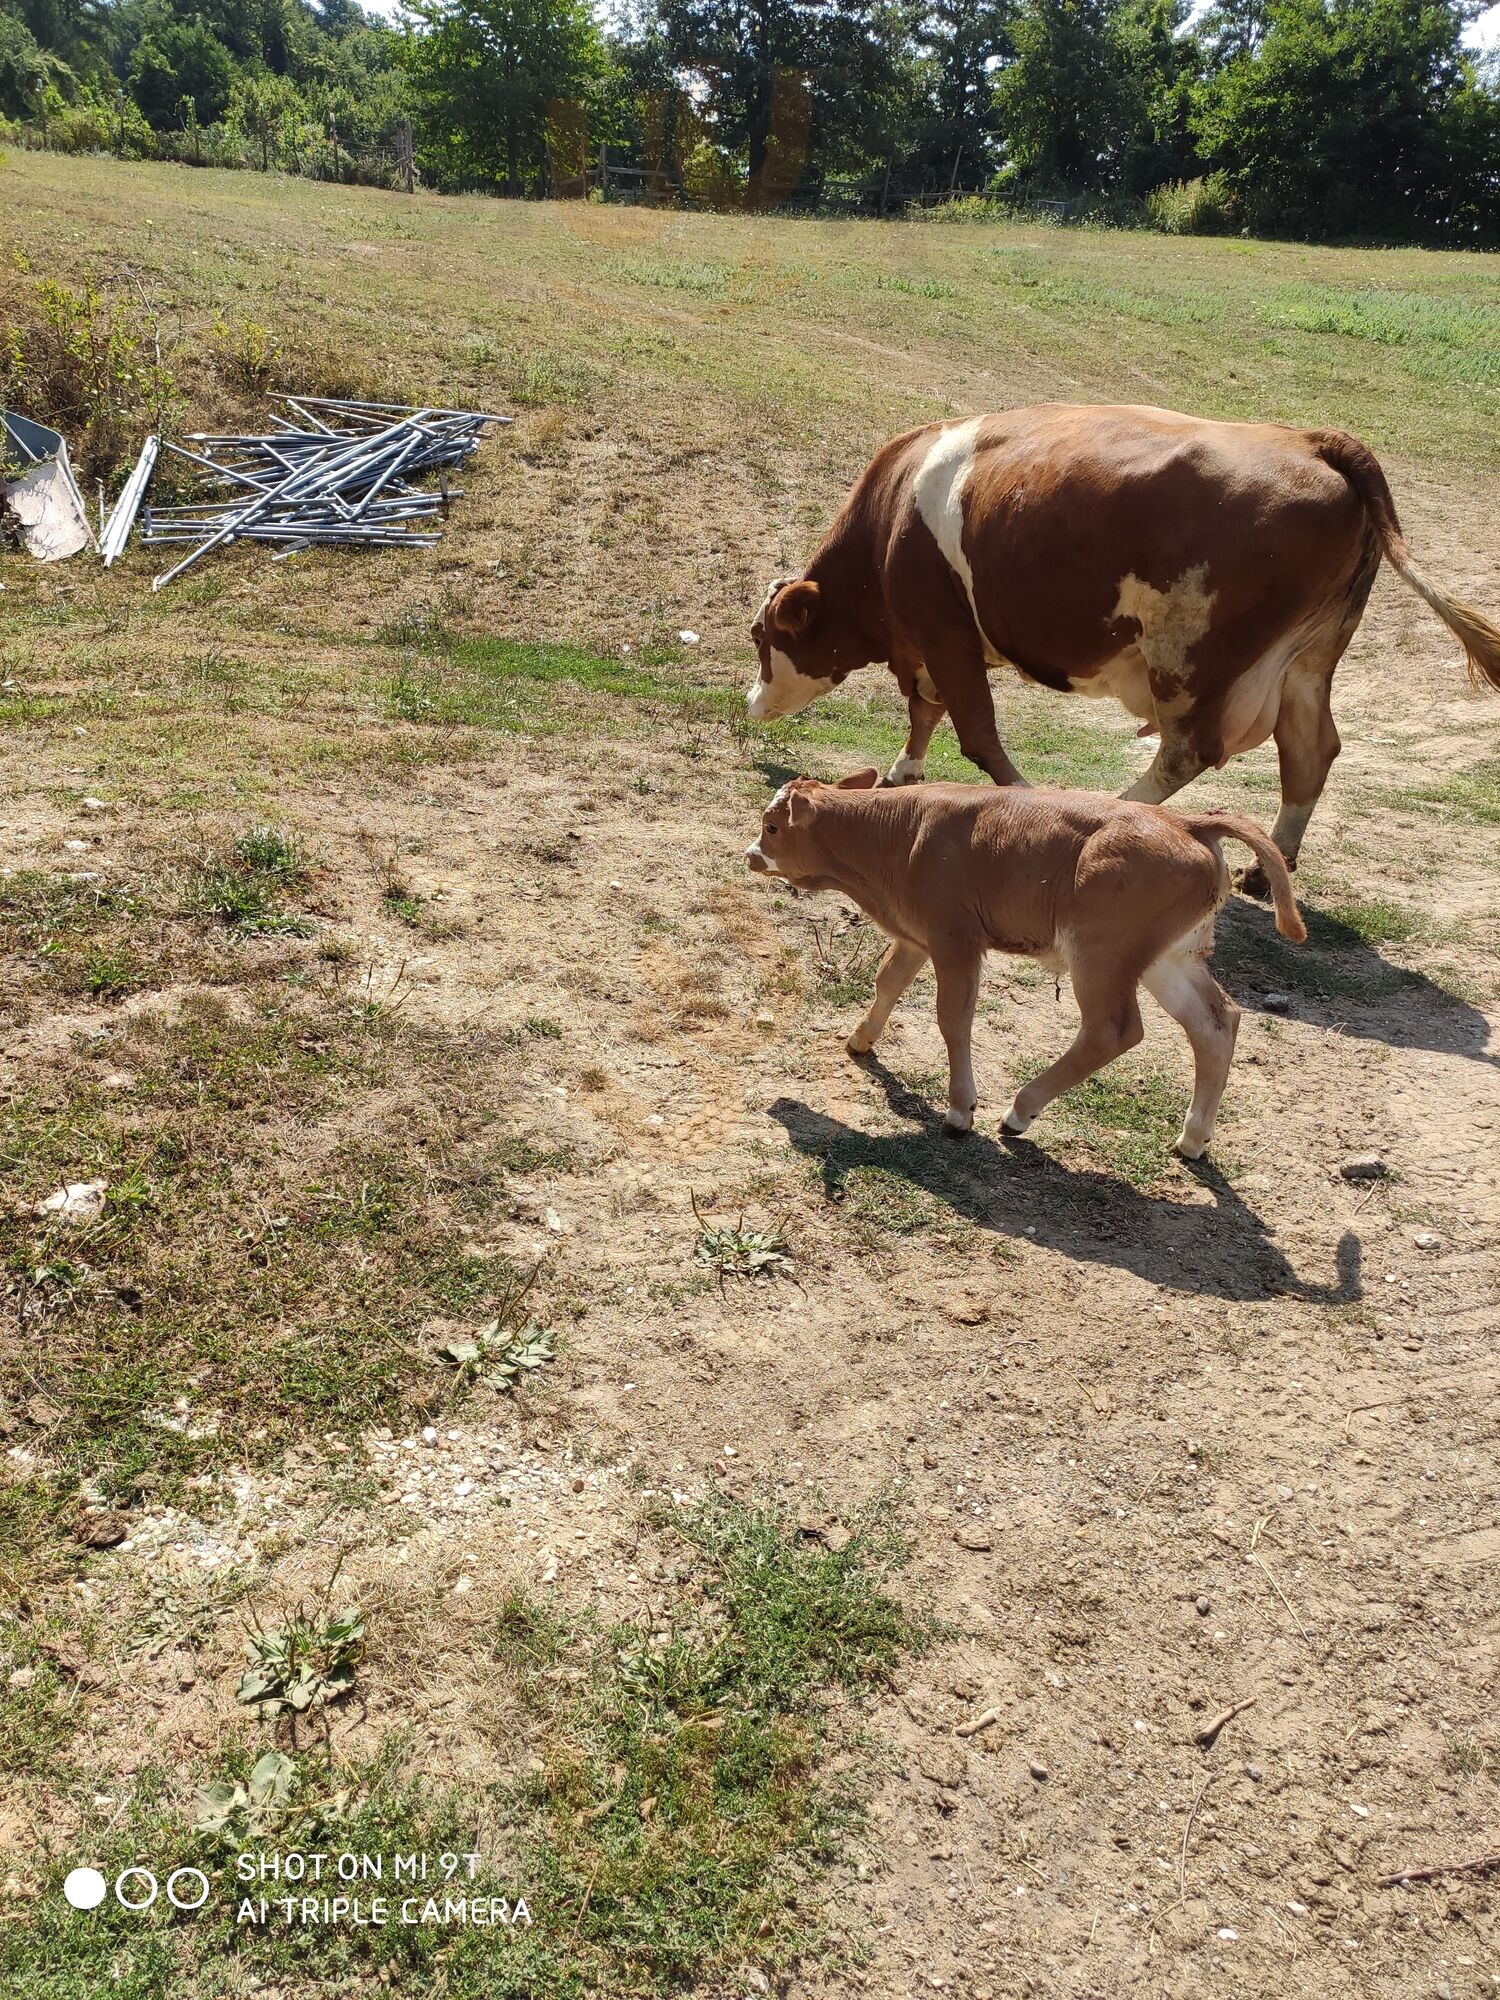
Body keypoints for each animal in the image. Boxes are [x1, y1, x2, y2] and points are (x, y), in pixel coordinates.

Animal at [748, 402, 1500, 880]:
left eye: (760, 635)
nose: (752, 703)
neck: (891, 513)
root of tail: (1317, 441)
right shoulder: (924, 645)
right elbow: (925, 711)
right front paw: (905, 769)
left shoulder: (944, 632)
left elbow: (976, 731)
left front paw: (1025, 797)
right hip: (1307, 661)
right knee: (1310, 750)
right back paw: (1271, 867)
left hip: (1192, 659)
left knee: (1188, 751)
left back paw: (1117, 811)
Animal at [748, 768, 1312, 1168]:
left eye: (772, 827)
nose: (751, 854)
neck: (900, 833)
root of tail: (1187, 821)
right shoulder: (915, 935)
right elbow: (888, 981)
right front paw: (860, 1040)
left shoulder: (955, 940)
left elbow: (953, 1018)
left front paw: (960, 1111)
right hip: (1168, 960)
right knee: (1215, 1022)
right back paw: (1193, 1138)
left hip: (1100, 953)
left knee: (1113, 1030)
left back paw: (1020, 1110)